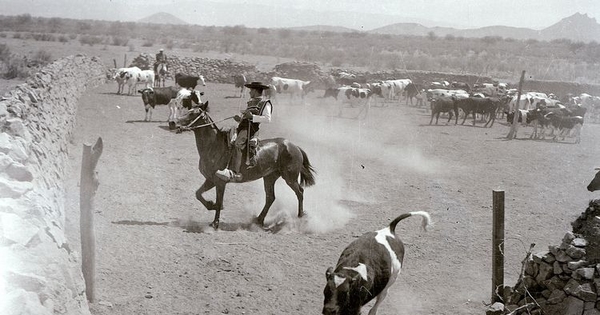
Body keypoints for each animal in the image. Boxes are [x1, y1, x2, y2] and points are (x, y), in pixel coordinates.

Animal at [178, 101, 318, 230]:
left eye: (193, 113)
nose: (174, 123)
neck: (214, 146)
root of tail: (294, 146)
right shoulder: (210, 179)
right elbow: (198, 194)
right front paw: (210, 205)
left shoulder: (220, 181)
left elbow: (218, 201)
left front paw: (215, 223)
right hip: (269, 177)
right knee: (270, 197)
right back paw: (259, 220)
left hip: (290, 177)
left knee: (300, 192)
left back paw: (300, 217)